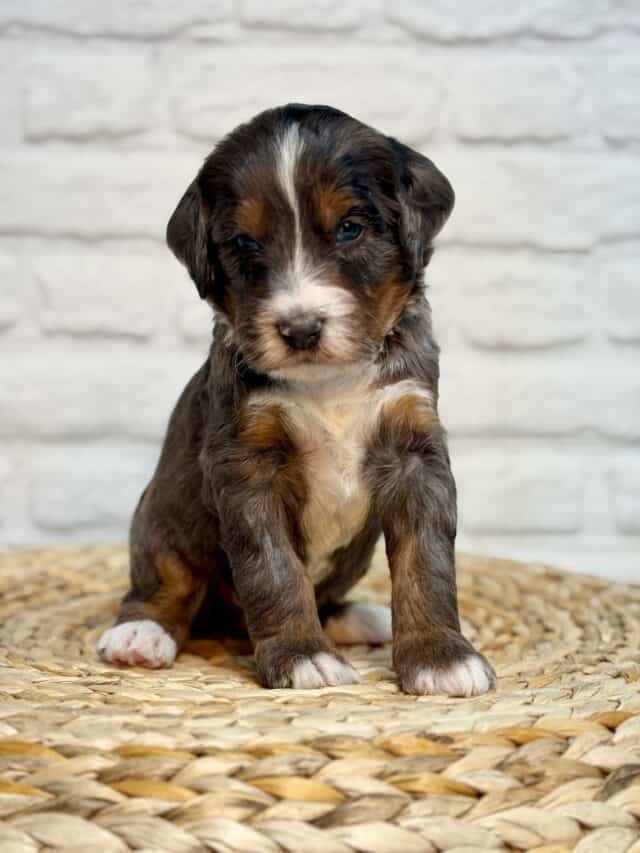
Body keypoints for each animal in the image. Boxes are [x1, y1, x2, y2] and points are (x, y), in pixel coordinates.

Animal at [96, 103, 496, 696]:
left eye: (350, 229)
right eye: (245, 243)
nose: (300, 329)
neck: (328, 381)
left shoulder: (414, 446)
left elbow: (425, 562)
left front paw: (440, 657)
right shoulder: (247, 463)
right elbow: (275, 569)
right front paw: (302, 657)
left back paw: (363, 618)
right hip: (161, 519)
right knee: (167, 584)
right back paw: (140, 636)